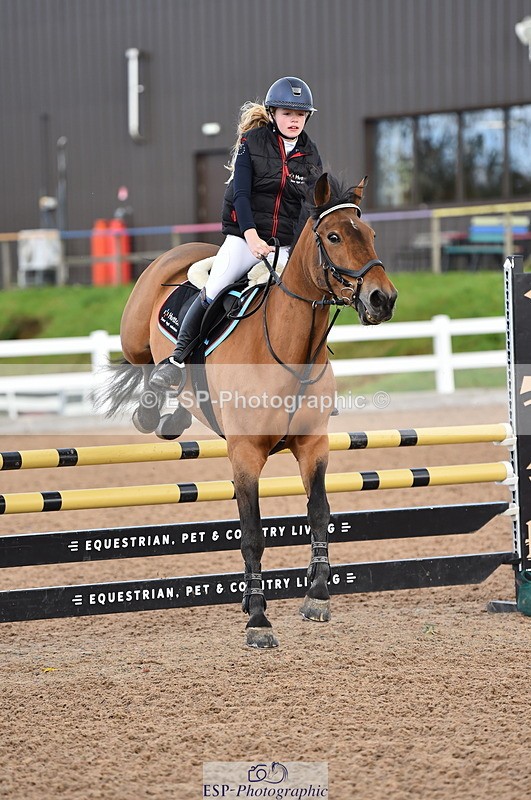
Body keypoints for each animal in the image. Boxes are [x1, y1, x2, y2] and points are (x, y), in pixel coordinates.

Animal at [102, 173, 397, 648]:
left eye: (370, 234)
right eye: (334, 237)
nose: (382, 299)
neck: (290, 352)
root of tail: (181, 251)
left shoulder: (313, 446)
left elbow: (319, 514)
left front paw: (316, 596)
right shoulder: (245, 455)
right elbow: (253, 536)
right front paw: (258, 618)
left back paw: (173, 417)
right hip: (134, 338)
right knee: (147, 364)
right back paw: (155, 407)